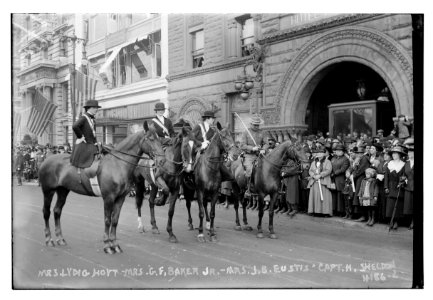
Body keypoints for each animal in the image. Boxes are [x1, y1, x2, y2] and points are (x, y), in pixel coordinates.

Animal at [38, 123, 164, 254]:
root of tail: (46, 160)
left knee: (57, 211)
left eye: (159, 139)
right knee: (46, 212)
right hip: (48, 191)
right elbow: (107, 220)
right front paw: (107, 245)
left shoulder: (120, 198)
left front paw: (115, 244)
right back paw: (49, 239)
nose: (162, 160)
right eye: (151, 139)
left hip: (63, 191)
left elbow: (115, 220)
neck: (118, 164)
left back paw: (60, 238)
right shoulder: (108, 198)